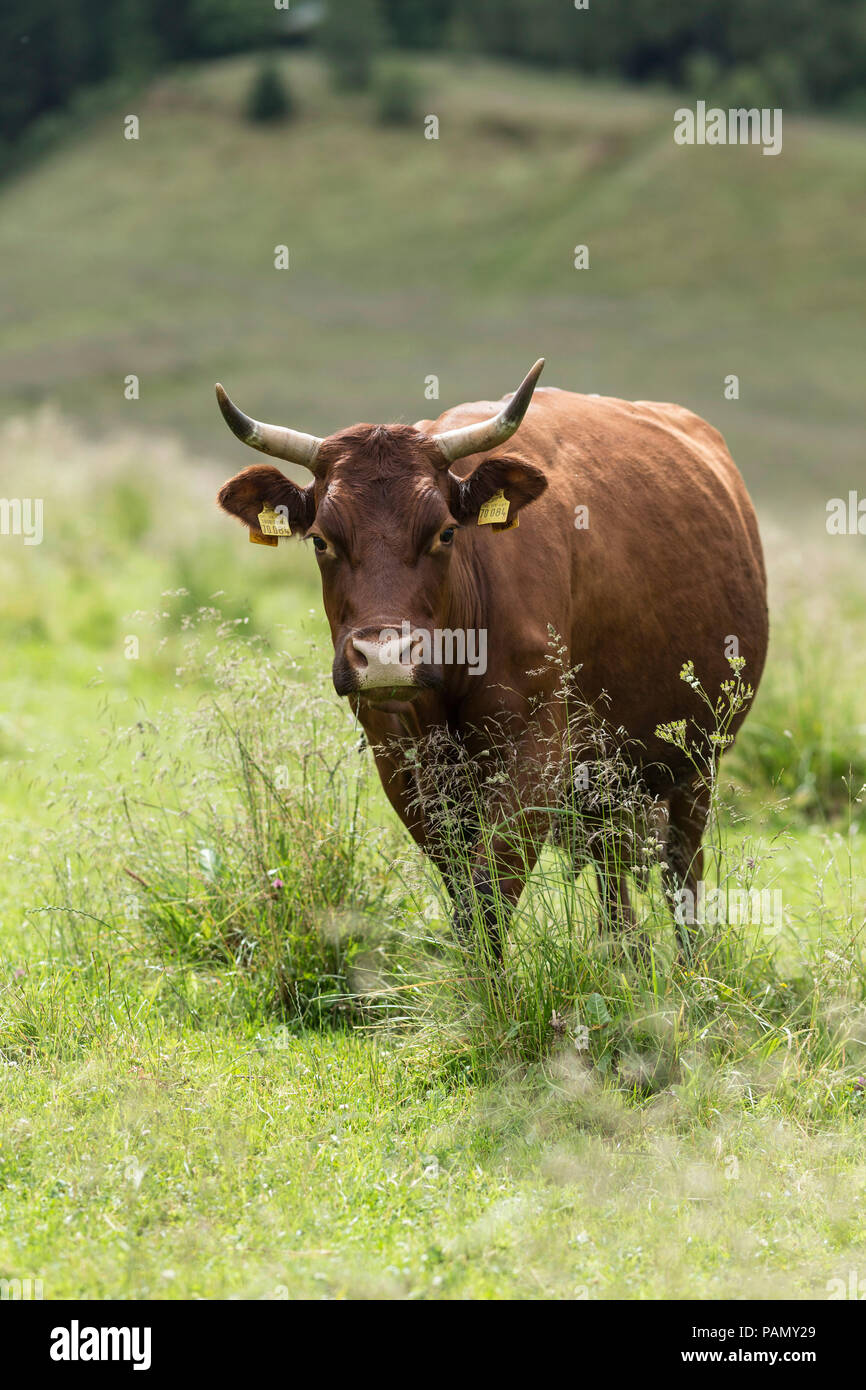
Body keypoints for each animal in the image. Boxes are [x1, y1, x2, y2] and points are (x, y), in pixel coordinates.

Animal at [214, 361, 767, 956]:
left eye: (445, 532)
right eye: (320, 540)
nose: (384, 657)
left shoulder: (536, 753)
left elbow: (489, 894)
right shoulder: (401, 760)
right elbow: (463, 889)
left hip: (697, 757)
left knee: (681, 873)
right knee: (612, 869)